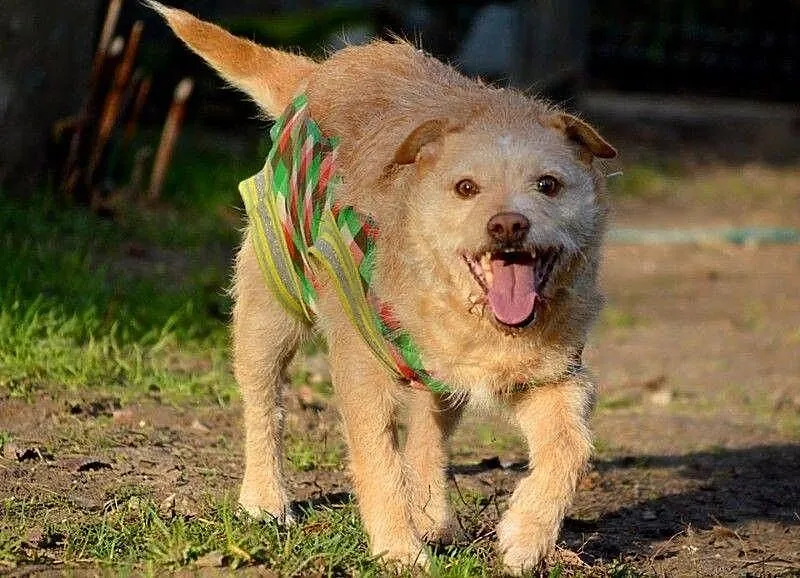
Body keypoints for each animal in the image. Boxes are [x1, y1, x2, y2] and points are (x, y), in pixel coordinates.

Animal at [152, 3, 616, 573]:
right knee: (264, 408)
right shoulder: (361, 372)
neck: (470, 321)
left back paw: (434, 517)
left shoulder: (552, 378)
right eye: (466, 188)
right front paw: (398, 549)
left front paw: (525, 538)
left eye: (547, 184)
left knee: (429, 437)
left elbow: (569, 448)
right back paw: (265, 499)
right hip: (268, 315)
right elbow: (378, 461)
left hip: (434, 384)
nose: (508, 225)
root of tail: (319, 72)